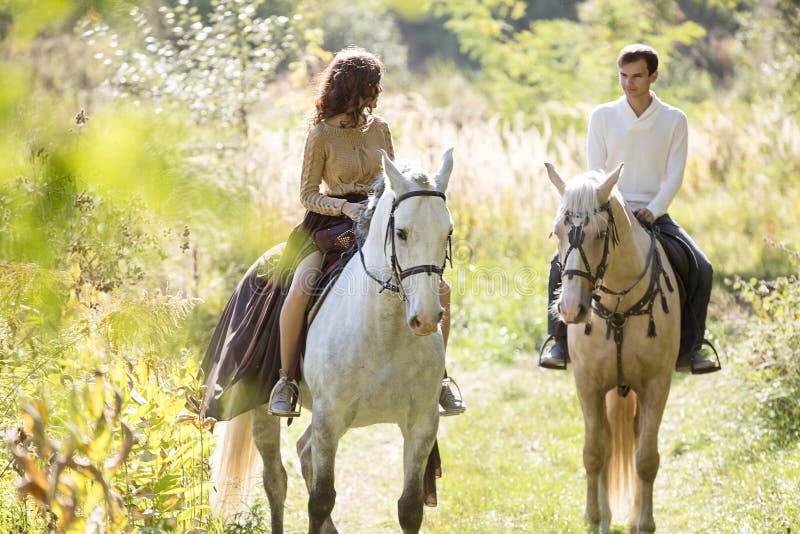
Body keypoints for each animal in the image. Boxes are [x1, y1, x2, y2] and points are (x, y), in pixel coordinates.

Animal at [209, 149, 454, 532]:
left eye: (447, 232)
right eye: (401, 233)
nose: (426, 319)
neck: (384, 333)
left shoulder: (422, 424)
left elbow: (410, 507)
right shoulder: (328, 418)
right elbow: (320, 500)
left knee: (302, 452)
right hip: (263, 407)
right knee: (275, 480)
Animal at [544, 164, 680, 534]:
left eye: (601, 233)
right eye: (557, 231)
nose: (571, 309)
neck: (620, 308)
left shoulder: (657, 385)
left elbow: (645, 458)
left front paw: (644, 524)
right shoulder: (588, 384)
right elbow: (594, 453)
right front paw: (594, 519)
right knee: (605, 441)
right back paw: (606, 517)